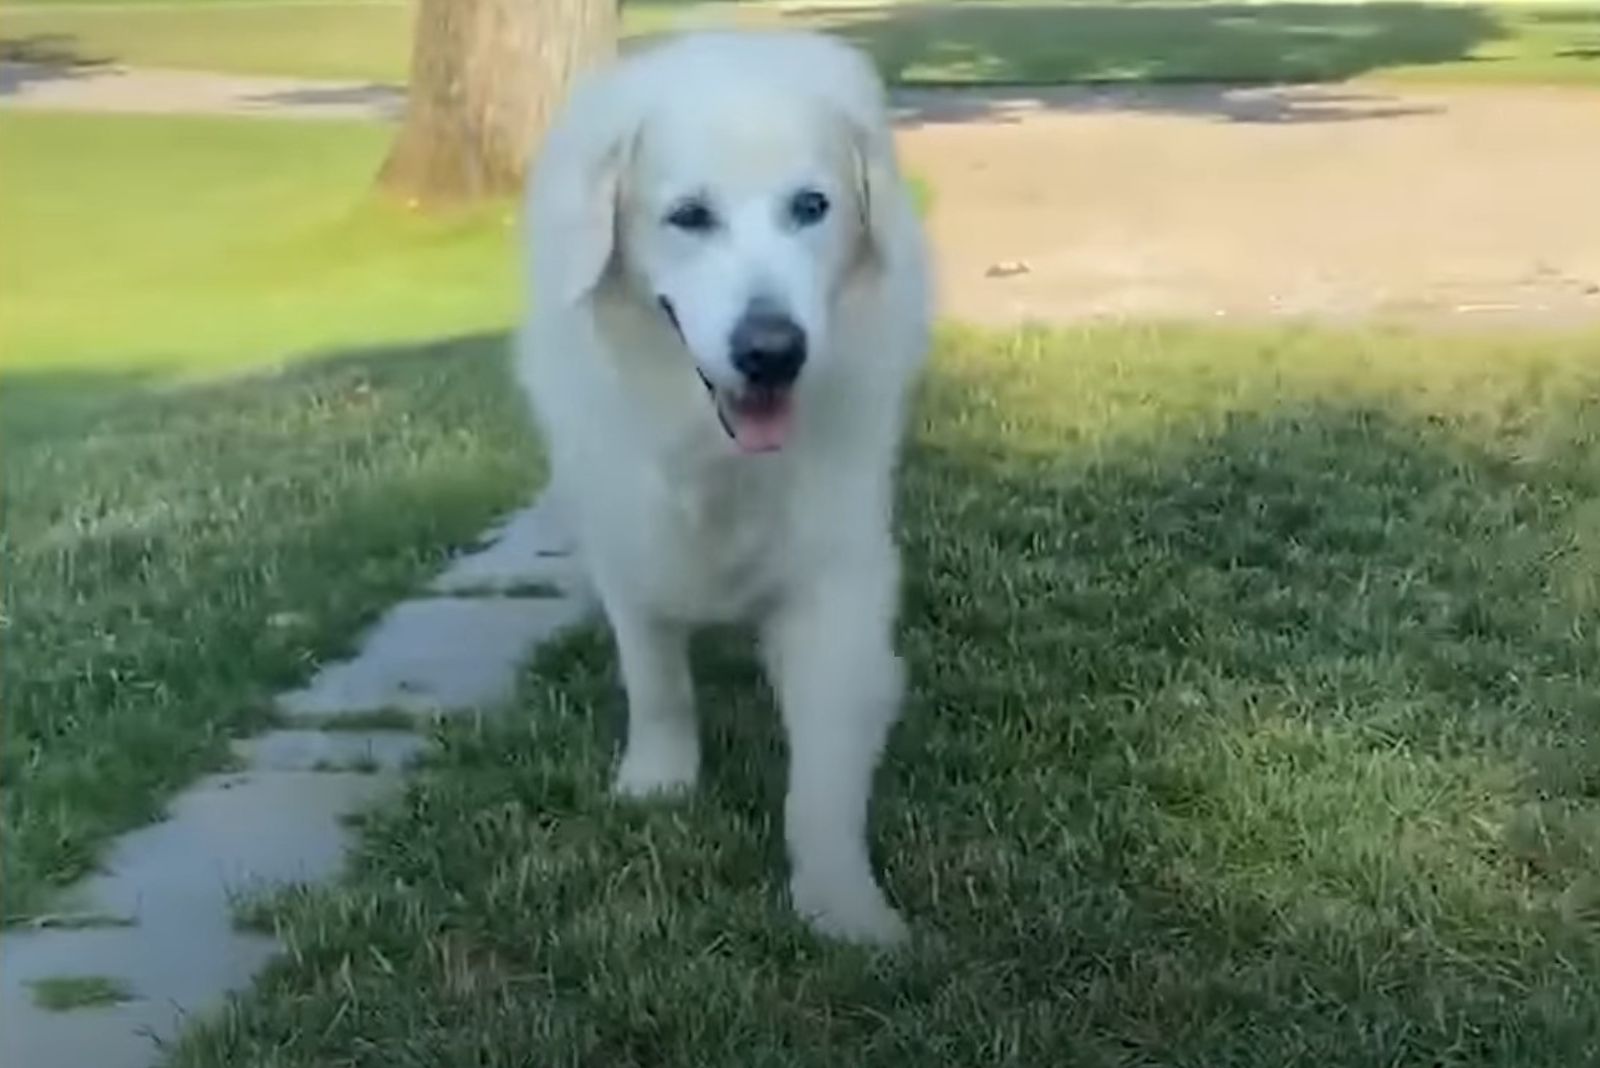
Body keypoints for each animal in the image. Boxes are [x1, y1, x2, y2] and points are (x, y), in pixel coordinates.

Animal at [518, 27, 934, 940]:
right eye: (689, 217)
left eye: (811, 207)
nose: (772, 351)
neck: (714, 452)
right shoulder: (631, 540)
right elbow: (657, 678)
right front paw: (659, 780)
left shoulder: (836, 573)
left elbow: (825, 764)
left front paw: (843, 905)